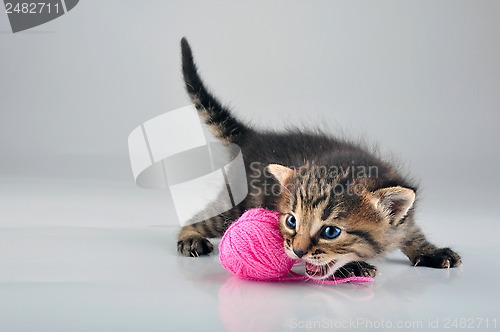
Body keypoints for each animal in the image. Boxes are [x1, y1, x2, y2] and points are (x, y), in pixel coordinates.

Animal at [176, 37, 460, 278]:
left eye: (330, 231)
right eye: (291, 221)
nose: (297, 250)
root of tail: (253, 137)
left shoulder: (404, 217)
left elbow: (411, 232)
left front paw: (431, 252)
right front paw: (351, 267)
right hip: (238, 205)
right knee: (202, 219)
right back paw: (190, 237)